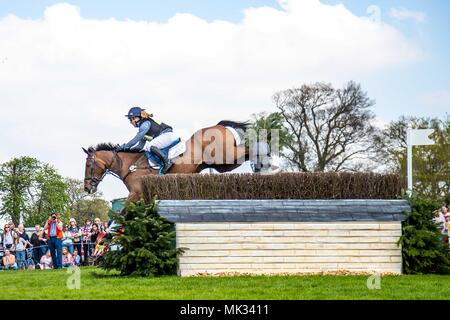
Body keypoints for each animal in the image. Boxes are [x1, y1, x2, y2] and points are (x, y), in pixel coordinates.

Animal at [82, 120, 268, 202]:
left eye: (88, 165)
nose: (87, 187)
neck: (129, 166)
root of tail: (219, 126)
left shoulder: (136, 193)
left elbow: (117, 219)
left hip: (224, 156)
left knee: (250, 148)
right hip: (222, 164)